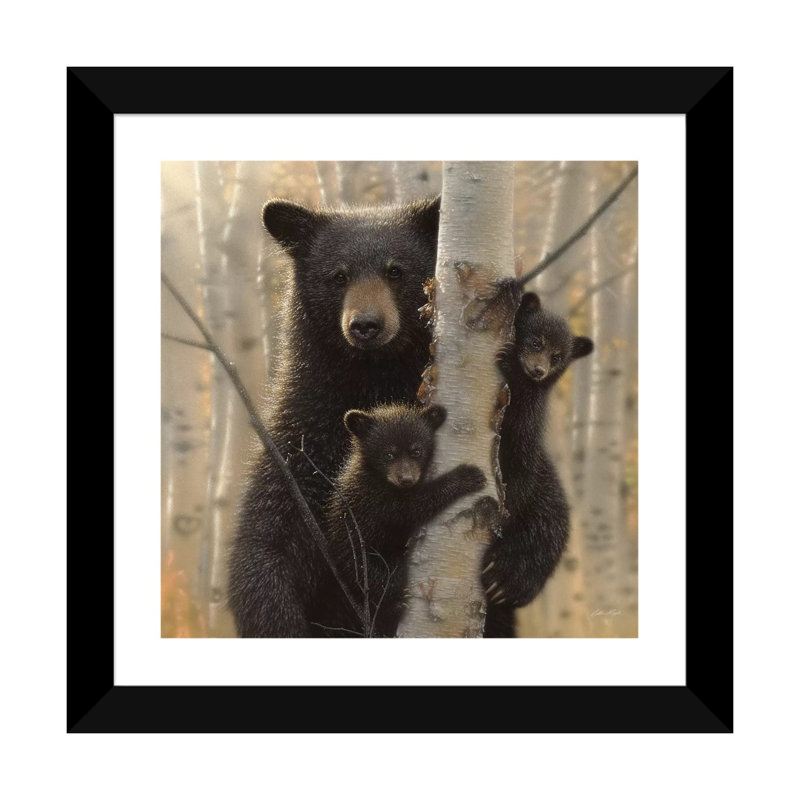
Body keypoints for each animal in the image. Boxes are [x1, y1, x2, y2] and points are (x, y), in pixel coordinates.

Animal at [228, 196, 441, 637]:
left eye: (396, 271)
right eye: (338, 276)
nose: (366, 325)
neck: (373, 381)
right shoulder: (301, 443)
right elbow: (265, 544)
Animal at [313, 403, 487, 637]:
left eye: (416, 451)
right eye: (388, 454)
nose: (405, 479)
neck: (377, 476)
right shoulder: (375, 498)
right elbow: (411, 507)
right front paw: (467, 476)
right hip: (359, 559)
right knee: (380, 579)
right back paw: (394, 604)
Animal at [482, 292, 594, 638]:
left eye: (558, 356)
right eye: (535, 341)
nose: (539, 370)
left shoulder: (525, 432)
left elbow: (520, 474)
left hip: (549, 510)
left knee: (542, 540)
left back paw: (505, 580)